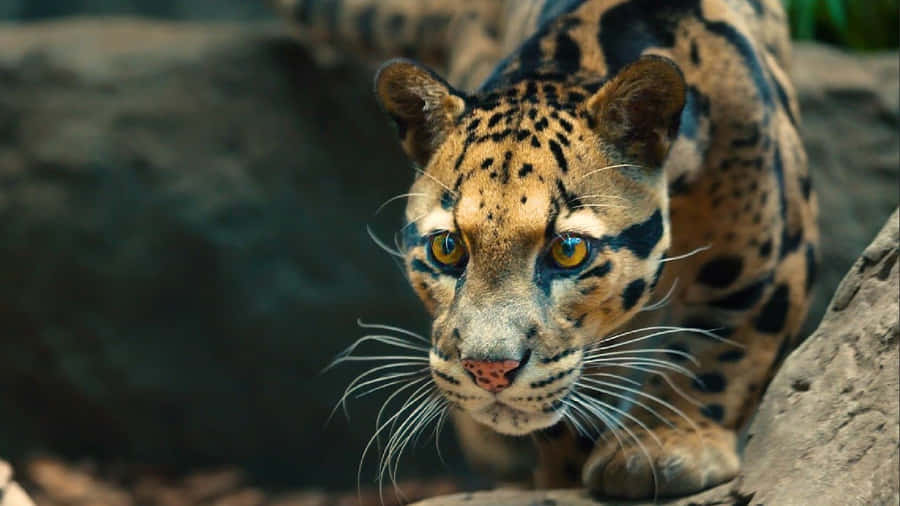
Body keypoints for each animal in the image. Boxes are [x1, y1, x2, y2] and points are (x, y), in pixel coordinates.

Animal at [272, 0, 819, 499]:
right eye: (447, 247)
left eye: (569, 250)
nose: (489, 371)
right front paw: (567, 471)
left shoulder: (766, 265)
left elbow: (720, 351)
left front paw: (665, 446)